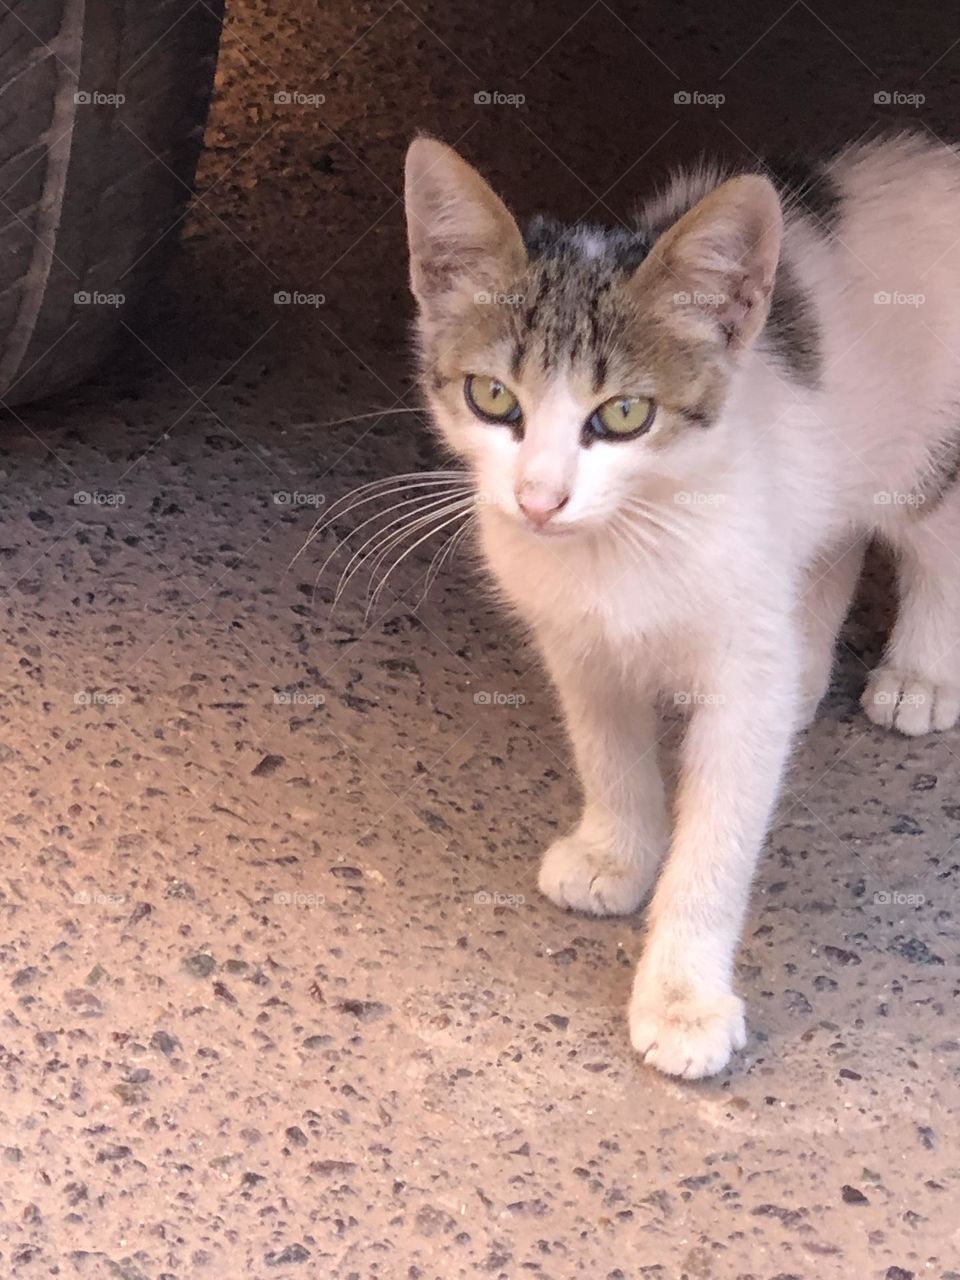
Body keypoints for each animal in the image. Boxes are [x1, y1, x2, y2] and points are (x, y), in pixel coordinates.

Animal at [399, 129, 960, 1075]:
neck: (620, 547)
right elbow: (607, 749)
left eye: (624, 413)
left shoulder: (737, 670)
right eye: (493, 397)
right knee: (832, 541)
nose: (538, 500)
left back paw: (919, 676)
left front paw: (682, 998)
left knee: (934, 537)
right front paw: (616, 853)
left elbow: (719, 837)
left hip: (923, 450)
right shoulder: (576, 641)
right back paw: (807, 676)